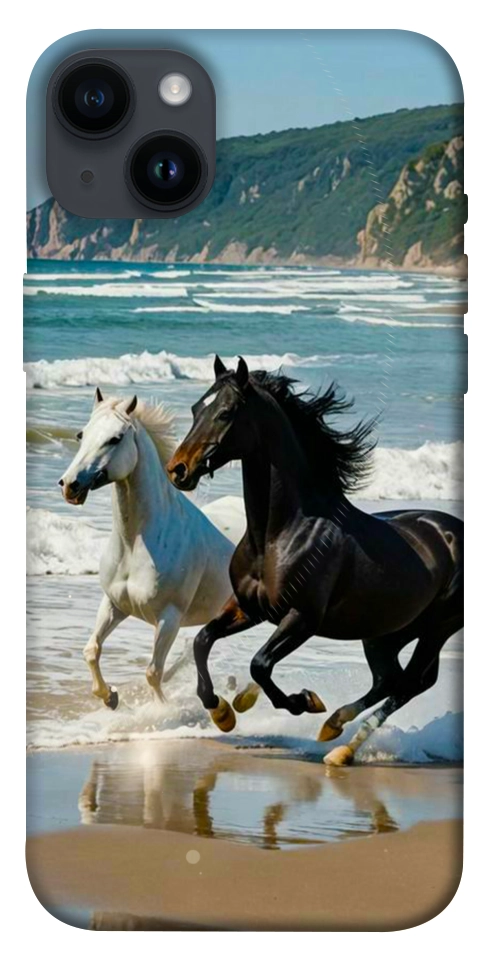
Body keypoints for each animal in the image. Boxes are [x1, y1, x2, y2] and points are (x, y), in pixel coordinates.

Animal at [59, 387, 234, 709]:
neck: (135, 544)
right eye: (81, 434)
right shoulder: (114, 604)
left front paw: (161, 711)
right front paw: (110, 697)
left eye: (115, 438)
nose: (69, 485)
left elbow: (153, 672)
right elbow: (91, 650)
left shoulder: (169, 618)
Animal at [166, 356, 463, 765]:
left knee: (410, 683)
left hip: (437, 628)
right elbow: (202, 640)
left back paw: (341, 747)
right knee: (390, 679)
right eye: (197, 408)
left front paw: (302, 701)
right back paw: (334, 728)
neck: (279, 534)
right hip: (386, 632)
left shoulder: (302, 618)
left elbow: (260, 664)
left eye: (225, 413)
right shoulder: (248, 608)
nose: (177, 469)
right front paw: (223, 711)